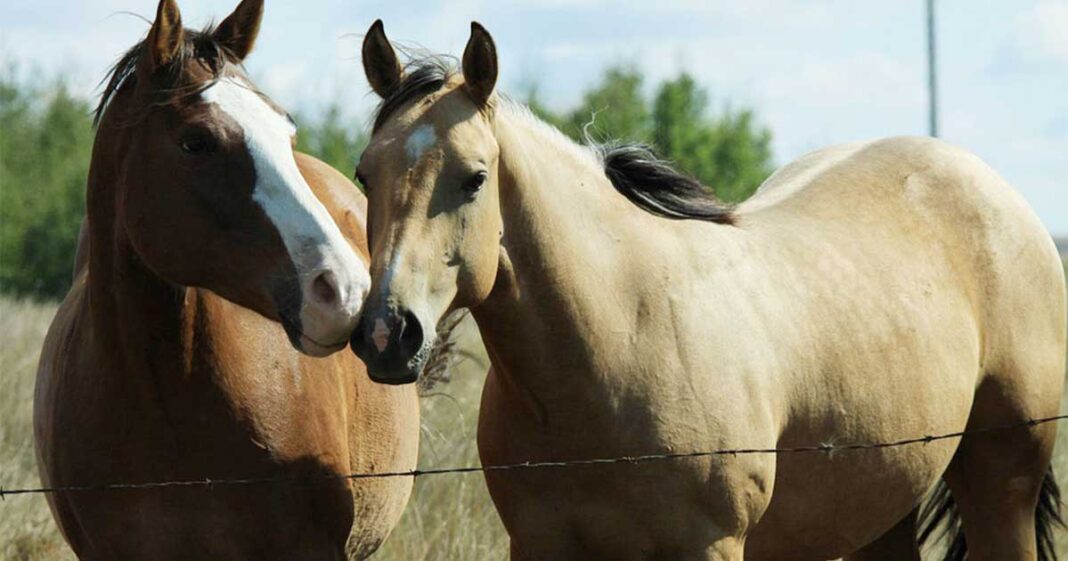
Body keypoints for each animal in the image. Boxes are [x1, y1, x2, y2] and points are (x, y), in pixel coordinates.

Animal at [352, 20, 1068, 559]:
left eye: (474, 178)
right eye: (364, 174)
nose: (389, 333)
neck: (617, 342)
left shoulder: (711, 545)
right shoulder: (538, 544)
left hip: (1001, 481)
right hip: (878, 507)